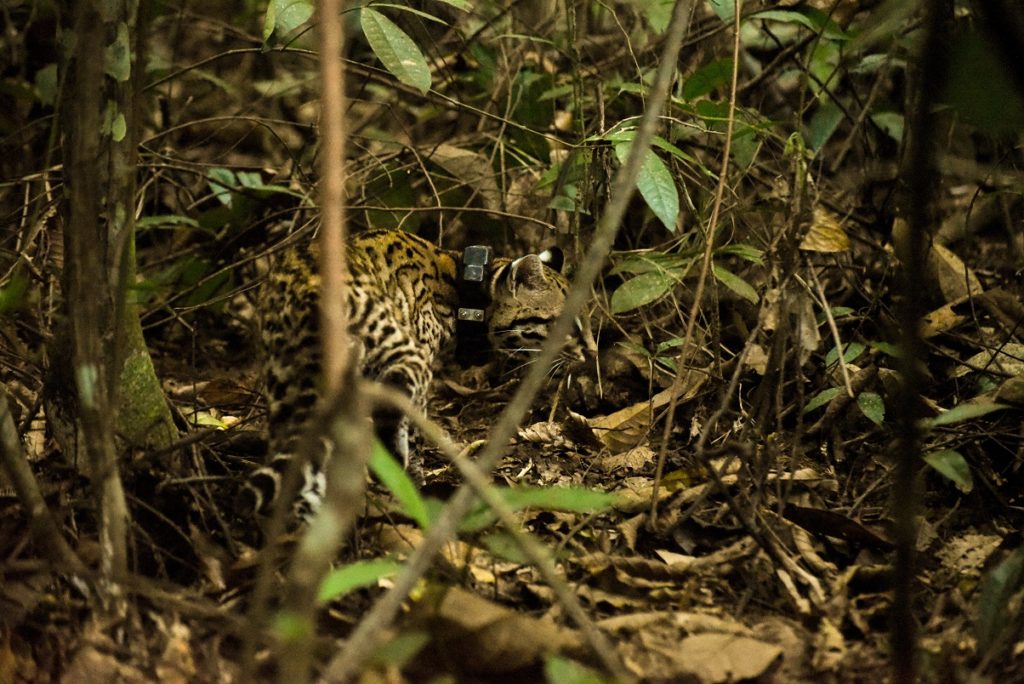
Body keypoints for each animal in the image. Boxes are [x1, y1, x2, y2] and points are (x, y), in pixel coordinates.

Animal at [239, 229, 577, 518]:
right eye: (564, 324)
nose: (586, 349)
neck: (465, 287)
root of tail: (309, 292)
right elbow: (413, 423)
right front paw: (415, 471)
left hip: (284, 376)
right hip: (398, 349)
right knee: (391, 407)